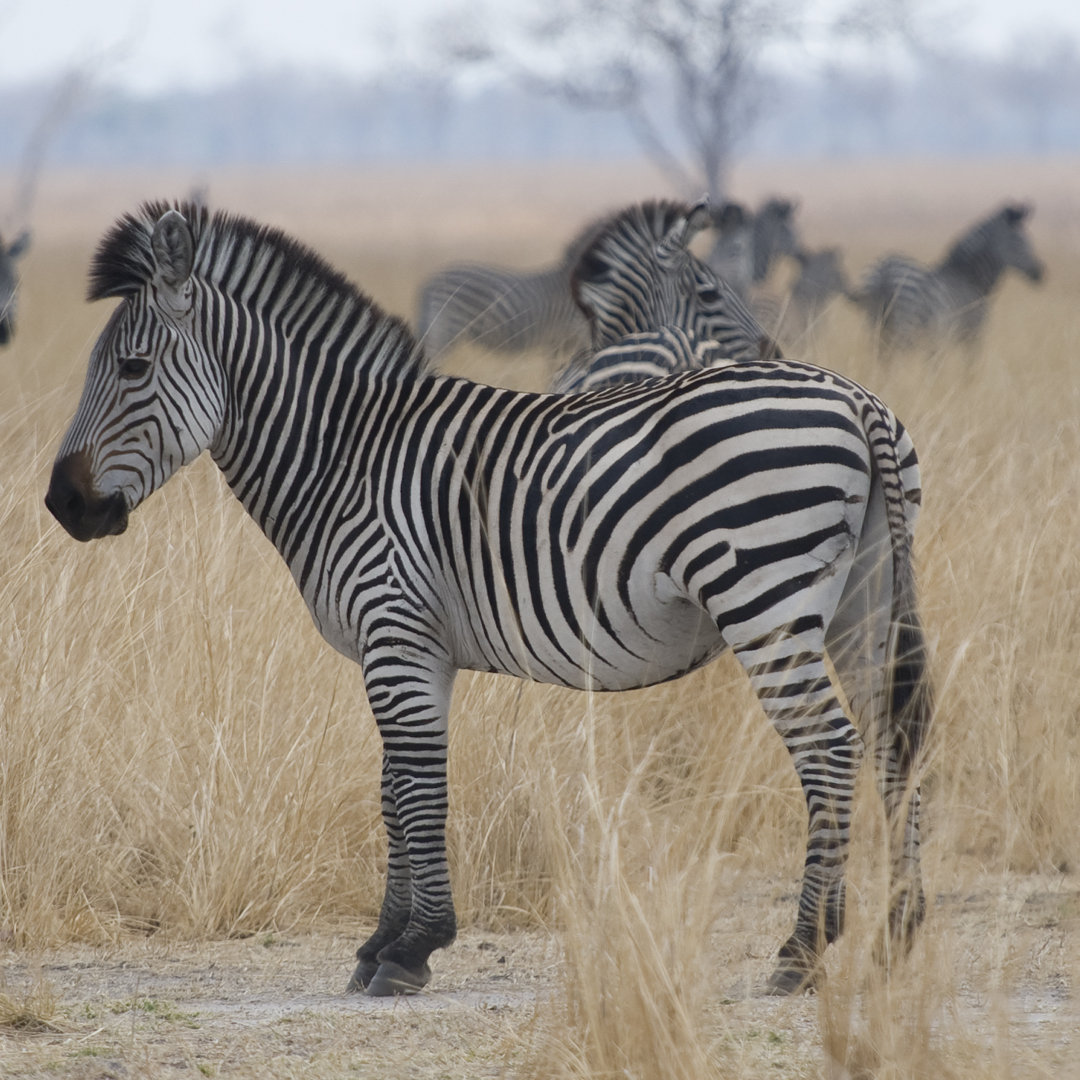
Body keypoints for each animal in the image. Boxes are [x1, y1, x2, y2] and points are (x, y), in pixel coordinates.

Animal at [846, 200, 1041, 356]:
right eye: (1018, 241)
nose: (1041, 273)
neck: (969, 277)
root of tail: (885, 269)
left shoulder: (938, 342)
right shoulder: (973, 334)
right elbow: (970, 372)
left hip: (875, 324)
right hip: (904, 325)